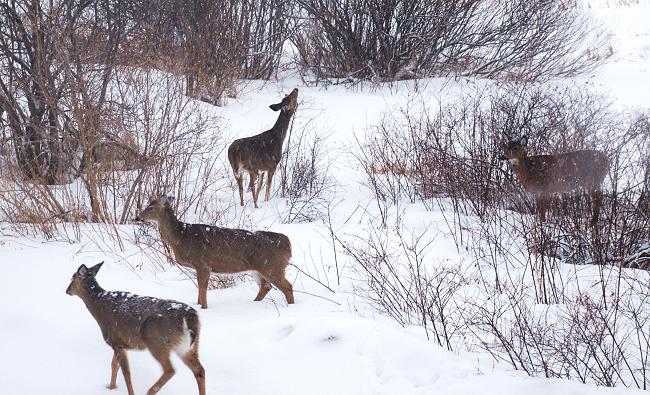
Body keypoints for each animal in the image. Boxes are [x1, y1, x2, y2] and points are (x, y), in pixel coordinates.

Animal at [67, 262, 204, 395]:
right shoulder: (119, 343)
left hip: (155, 339)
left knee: (170, 370)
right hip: (188, 346)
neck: (99, 306)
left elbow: (126, 372)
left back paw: (150, 391)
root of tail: (189, 315)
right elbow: (114, 365)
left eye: (72, 278)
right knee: (199, 370)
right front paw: (111, 387)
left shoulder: (116, 341)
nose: (67, 290)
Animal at [137, 195, 294, 310]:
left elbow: (202, 288)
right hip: (258, 269)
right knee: (266, 286)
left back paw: (290, 308)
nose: (137, 217)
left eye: (150, 207)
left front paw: (204, 308)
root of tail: (288, 244)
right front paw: (199, 305)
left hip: (272, 266)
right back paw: (254, 303)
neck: (182, 237)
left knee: (287, 286)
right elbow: (200, 289)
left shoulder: (203, 263)